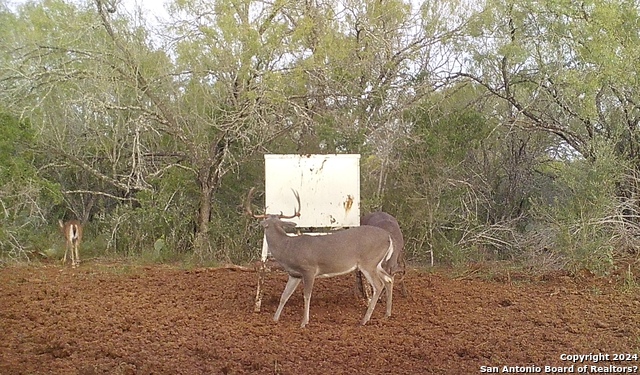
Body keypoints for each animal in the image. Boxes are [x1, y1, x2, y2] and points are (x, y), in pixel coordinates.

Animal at [246, 189, 392, 328]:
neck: (287, 247)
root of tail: (388, 237)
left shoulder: (309, 269)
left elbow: (307, 296)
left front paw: (304, 322)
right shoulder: (294, 274)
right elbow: (284, 296)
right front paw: (274, 319)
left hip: (368, 262)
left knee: (379, 285)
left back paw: (364, 320)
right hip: (377, 263)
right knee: (389, 279)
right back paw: (386, 314)